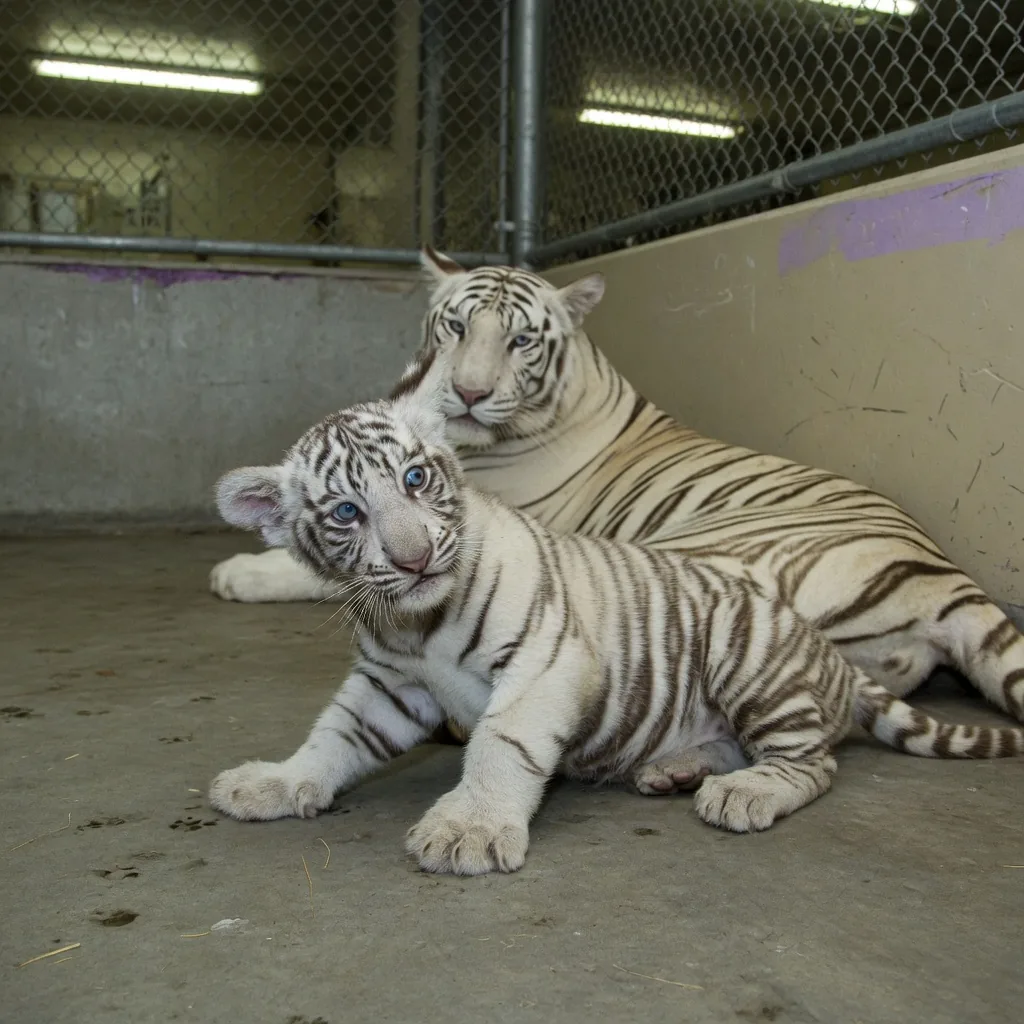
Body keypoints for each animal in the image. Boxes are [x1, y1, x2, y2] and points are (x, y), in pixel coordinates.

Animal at [209, 354, 1024, 876]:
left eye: (415, 478)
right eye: (347, 513)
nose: (413, 560)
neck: (417, 623)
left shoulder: (544, 660)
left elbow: (500, 742)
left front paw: (469, 828)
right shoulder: (388, 685)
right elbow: (333, 736)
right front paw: (276, 782)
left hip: (746, 652)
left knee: (813, 760)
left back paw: (746, 792)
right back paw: (676, 768)